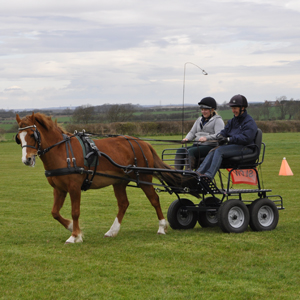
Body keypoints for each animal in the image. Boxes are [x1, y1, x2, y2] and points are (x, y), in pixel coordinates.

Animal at [15, 112, 182, 244]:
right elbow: (55, 212)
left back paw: (161, 227)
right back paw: (112, 231)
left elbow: (75, 211)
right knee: (123, 204)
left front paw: (75, 236)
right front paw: (71, 227)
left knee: (154, 199)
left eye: (32, 135)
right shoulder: (59, 189)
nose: (27, 160)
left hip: (144, 177)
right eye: (18, 138)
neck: (62, 152)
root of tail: (142, 142)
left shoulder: (74, 187)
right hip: (119, 182)